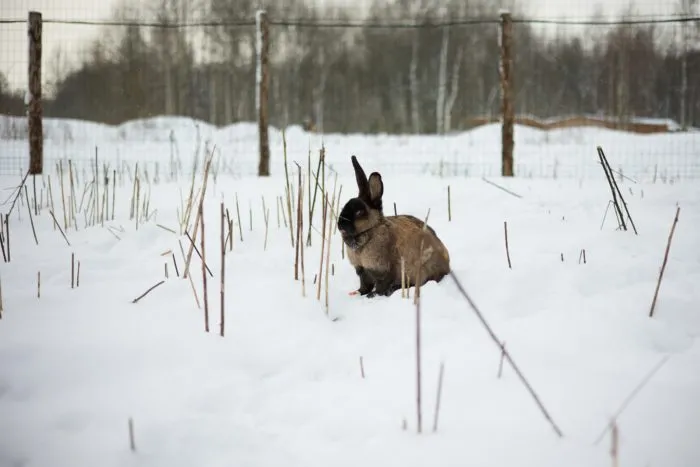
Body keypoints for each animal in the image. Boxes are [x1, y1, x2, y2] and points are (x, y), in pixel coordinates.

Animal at [337, 155, 451, 298]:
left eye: (359, 212)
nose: (340, 225)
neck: (370, 231)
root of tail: (447, 267)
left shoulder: (383, 269)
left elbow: (381, 284)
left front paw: (373, 295)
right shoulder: (362, 270)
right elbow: (365, 285)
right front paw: (358, 293)